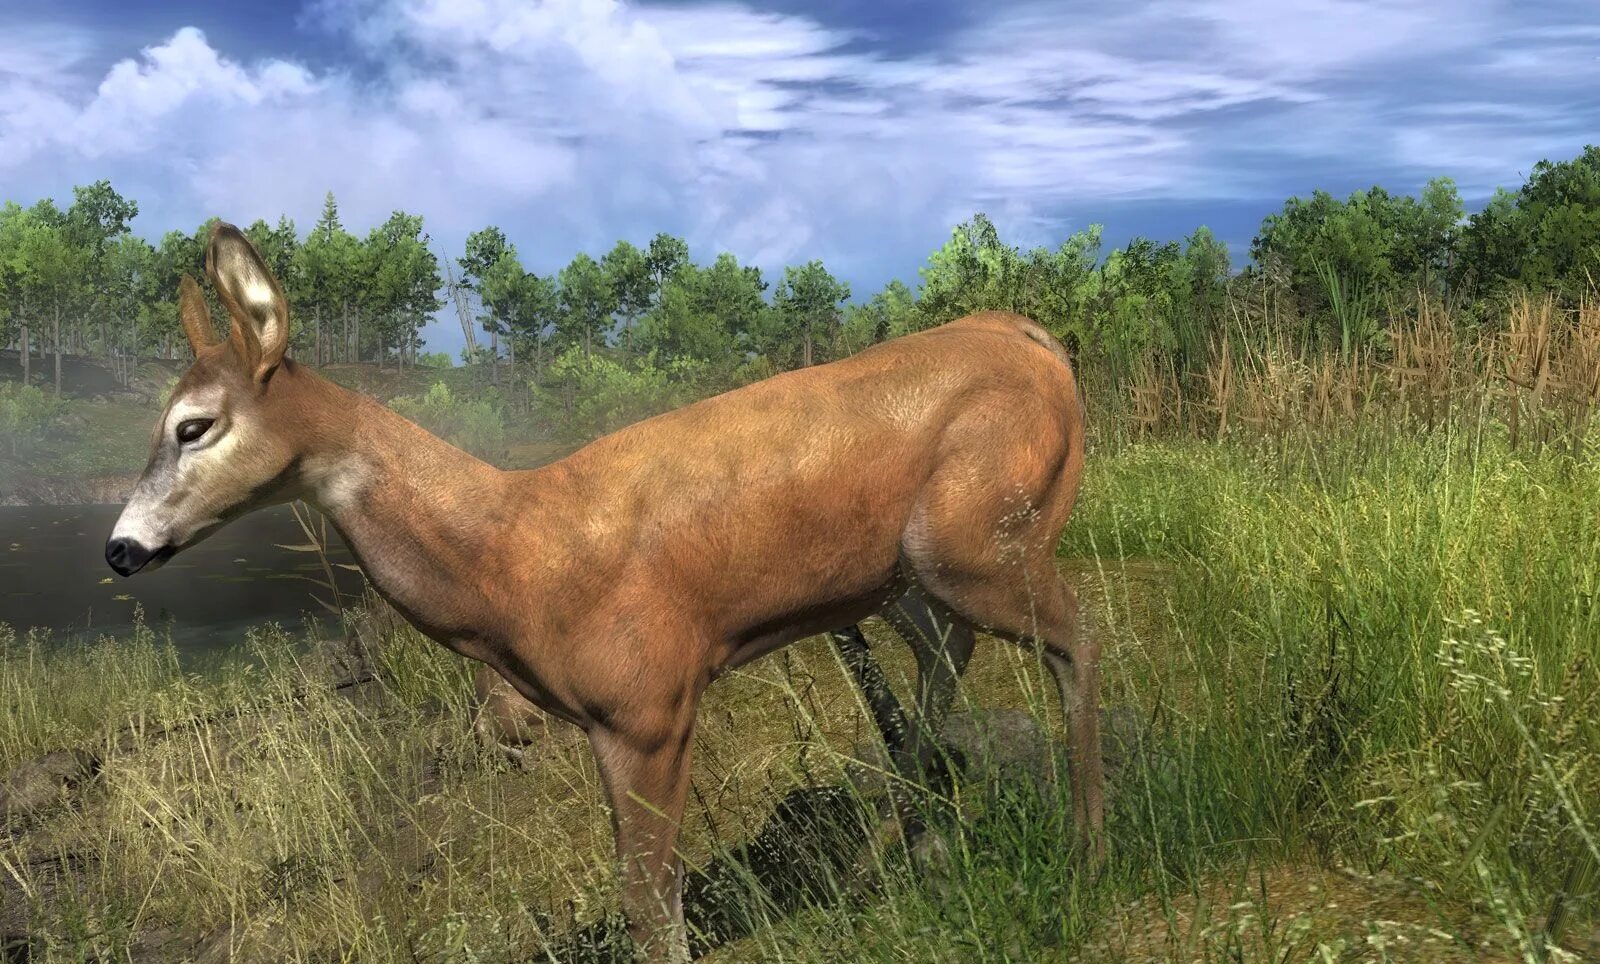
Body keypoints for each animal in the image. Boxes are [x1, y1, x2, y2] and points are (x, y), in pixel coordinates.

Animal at [105, 223, 1101, 961]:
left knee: (1075, 639)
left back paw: (1085, 845)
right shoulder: (610, 717)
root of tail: (1034, 339)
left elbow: (649, 899)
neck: (511, 558)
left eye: (193, 426)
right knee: (947, 658)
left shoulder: (647, 703)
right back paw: (907, 852)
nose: (120, 549)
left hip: (981, 534)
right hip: (905, 578)